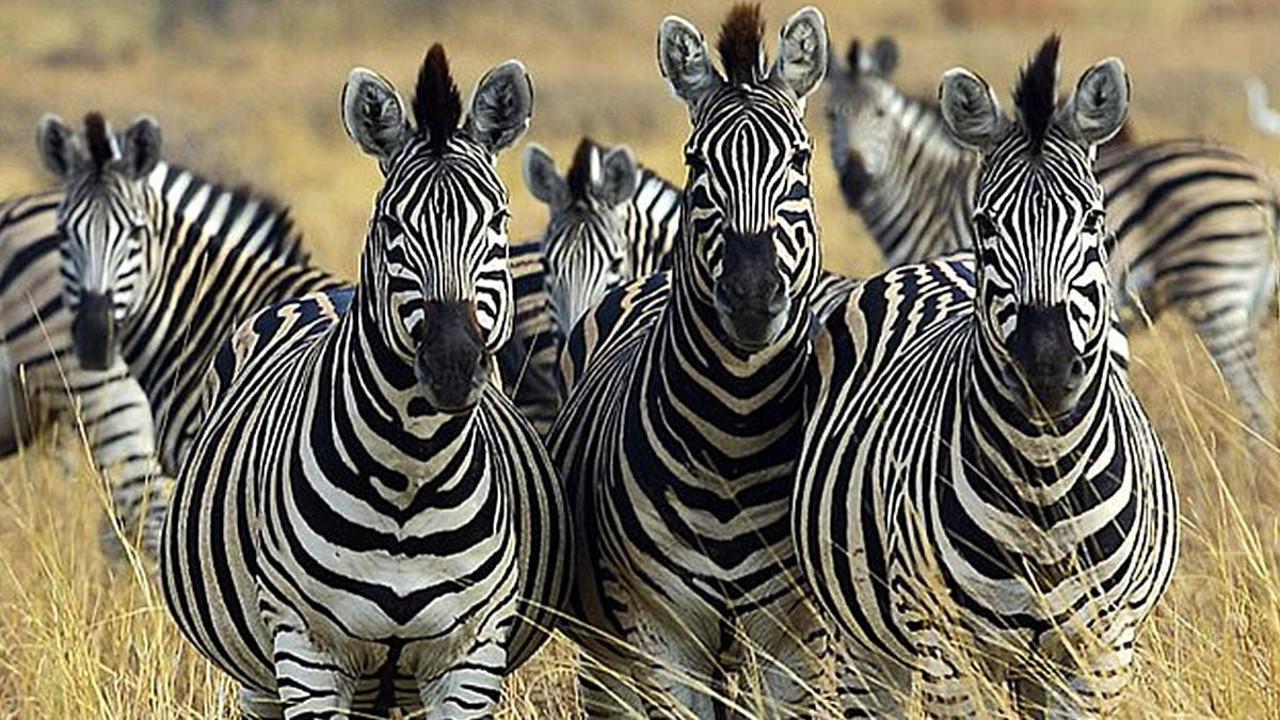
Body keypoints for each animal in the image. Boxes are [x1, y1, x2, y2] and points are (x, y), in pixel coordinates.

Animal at [160, 46, 570, 718]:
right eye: (391, 226)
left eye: (498, 220)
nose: (453, 364)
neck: (412, 470)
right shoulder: (307, 650)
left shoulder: (471, 654)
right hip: (259, 674)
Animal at [547, 6, 842, 716]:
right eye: (695, 161)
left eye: (800, 158)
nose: (752, 292)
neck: (735, 434)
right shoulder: (662, 635)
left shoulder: (797, 641)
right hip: (608, 650)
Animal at [794, 37, 1178, 717]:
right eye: (986, 225)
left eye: (1094, 223)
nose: (1044, 366)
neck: (1045, 485)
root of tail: (933, 264)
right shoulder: (944, 647)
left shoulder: (1101, 652)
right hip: (866, 639)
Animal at [826, 35, 1280, 435]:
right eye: (830, 116)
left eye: (880, 114)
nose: (854, 183)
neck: (931, 194)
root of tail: (1259, 177)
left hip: (1215, 288)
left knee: (1254, 397)